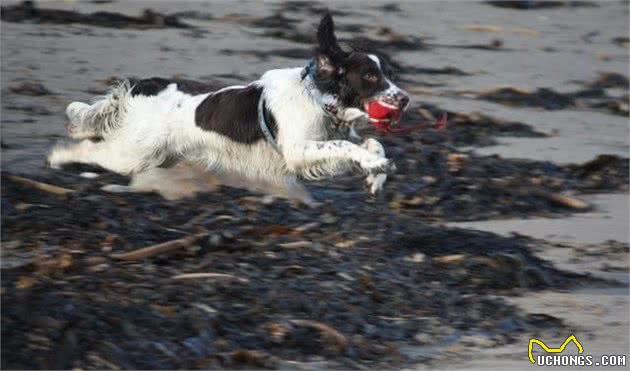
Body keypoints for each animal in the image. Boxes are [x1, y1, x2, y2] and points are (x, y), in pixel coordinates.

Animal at [48, 14, 410, 199]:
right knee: (88, 149)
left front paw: (376, 175)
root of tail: (144, 84)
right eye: (370, 75)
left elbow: (371, 143)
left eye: (390, 74)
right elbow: (348, 147)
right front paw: (374, 166)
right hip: (134, 153)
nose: (405, 99)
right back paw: (58, 157)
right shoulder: (296, 149)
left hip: (158, 155)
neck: (319, 97)